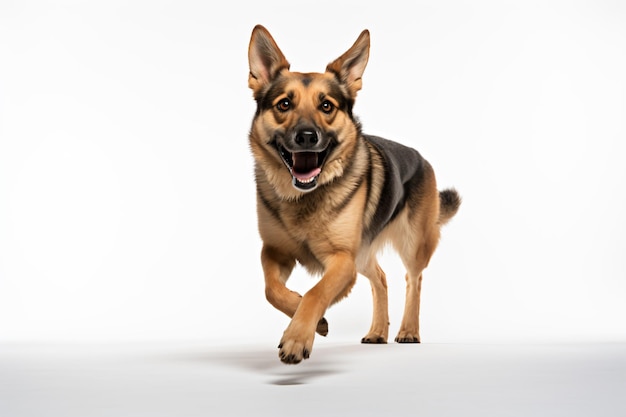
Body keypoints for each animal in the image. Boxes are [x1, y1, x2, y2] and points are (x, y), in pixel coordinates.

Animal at [245, 26, 458, 364]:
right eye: (284, 105)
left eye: (327, 106)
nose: (307, 136)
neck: (305, 198)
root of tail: (420, 158)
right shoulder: (274, 252)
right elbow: (271, 290)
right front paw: (314, 322)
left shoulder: (342, 260)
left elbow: (316, 292)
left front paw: (297, 337)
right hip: (363, 254)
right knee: (381, 278)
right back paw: (377, 332)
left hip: (411, 245)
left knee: (414, 280)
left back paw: (408, 330)